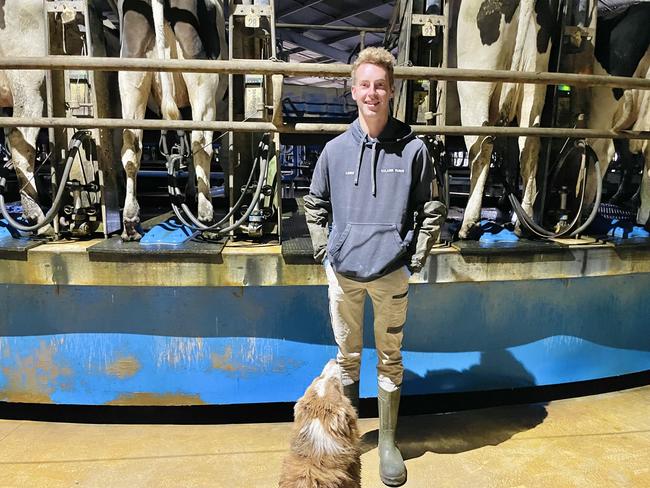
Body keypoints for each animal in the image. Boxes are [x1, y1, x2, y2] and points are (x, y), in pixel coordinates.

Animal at [117, 0, 227, 240]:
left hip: (131, 76)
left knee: (131, 146)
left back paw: (130, 221)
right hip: (203, 78)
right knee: (201, 145)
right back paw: (207, 217)